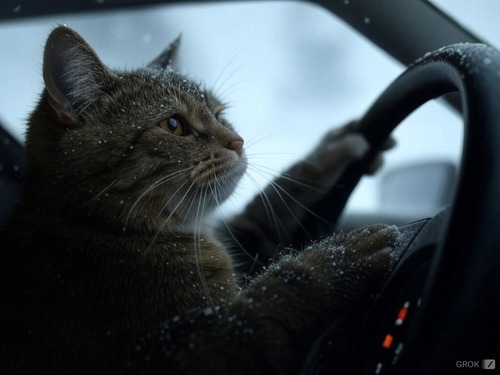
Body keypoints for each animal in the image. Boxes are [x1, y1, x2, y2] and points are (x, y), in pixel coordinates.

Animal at [0, 25, 398, 374]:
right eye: (174, 125)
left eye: (221, 114)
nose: (238, 141)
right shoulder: (192, 354)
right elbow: (262, 305)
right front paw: (337, 258)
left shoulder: (245, 238)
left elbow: (265, 213)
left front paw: (334, 150)